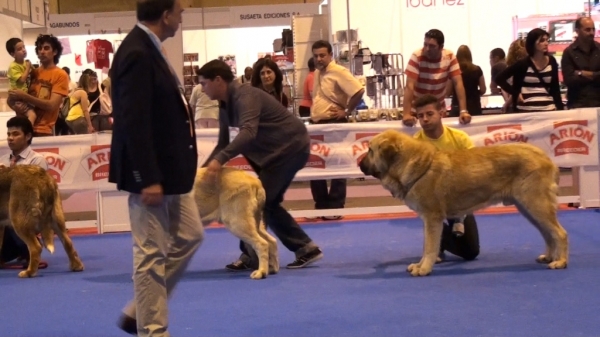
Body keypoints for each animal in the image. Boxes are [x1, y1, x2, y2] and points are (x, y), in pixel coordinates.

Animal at [358, 129, 568, 276]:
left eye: (370, 150)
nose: (359, 165)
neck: (412, 164)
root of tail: (547, 158)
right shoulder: (429, 220)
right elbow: (426, 246)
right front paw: (420, 265)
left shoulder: (432, 218)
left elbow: (430, 247)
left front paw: (424, 268)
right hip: (527, 208)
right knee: (548, 233)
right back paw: (550, 256)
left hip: (536, 204)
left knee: (559, 233)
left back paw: (560, 261)